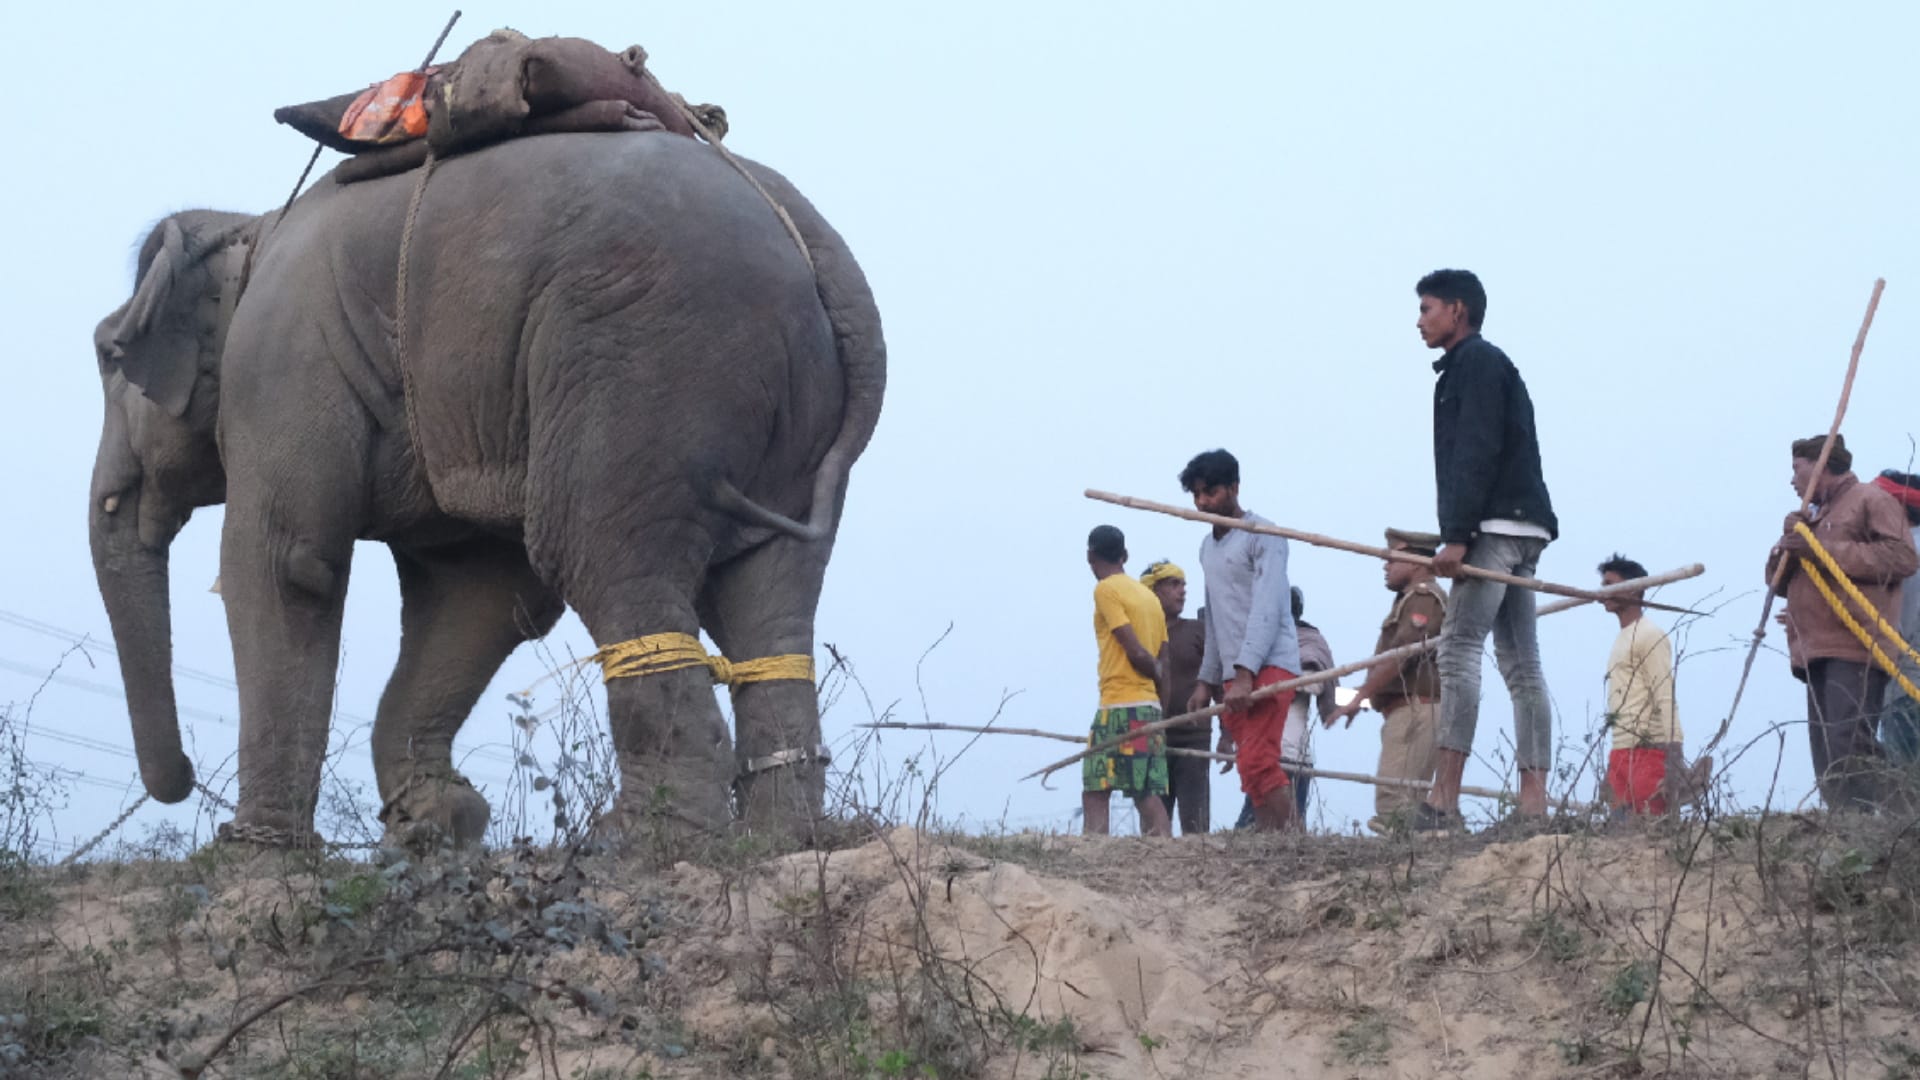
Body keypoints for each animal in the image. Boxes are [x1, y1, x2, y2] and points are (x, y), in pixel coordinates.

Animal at [89, 131, 885, 847]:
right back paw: (783, 841)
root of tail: (825, 254)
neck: (252, 227)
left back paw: (636, 846)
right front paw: (436, 827)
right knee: (767, 592)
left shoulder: (283, 355)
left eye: (107, 355)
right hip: (789, 425)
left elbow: (289, 562)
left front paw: (256, 857)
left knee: (597, 554)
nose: (183, 776)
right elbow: (478, 592)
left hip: (647, 362)